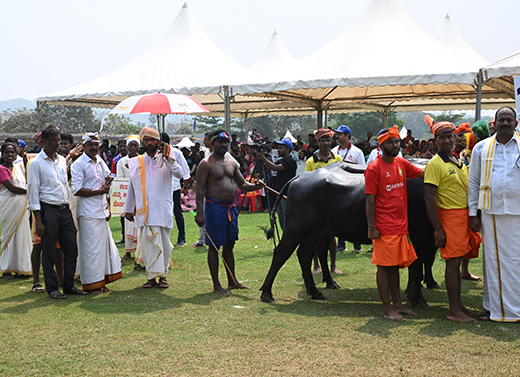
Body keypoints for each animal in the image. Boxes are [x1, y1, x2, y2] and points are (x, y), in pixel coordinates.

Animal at [262, 159, 436, 308]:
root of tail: (299, 177)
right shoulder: (418, 235)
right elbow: (417, 268)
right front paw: (418, 298)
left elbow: (424, 262)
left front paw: (421, 288)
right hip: (295, 230)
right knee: (281, 254)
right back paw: (266, 293)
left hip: (316, 233)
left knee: (306, 254)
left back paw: (316, 291)